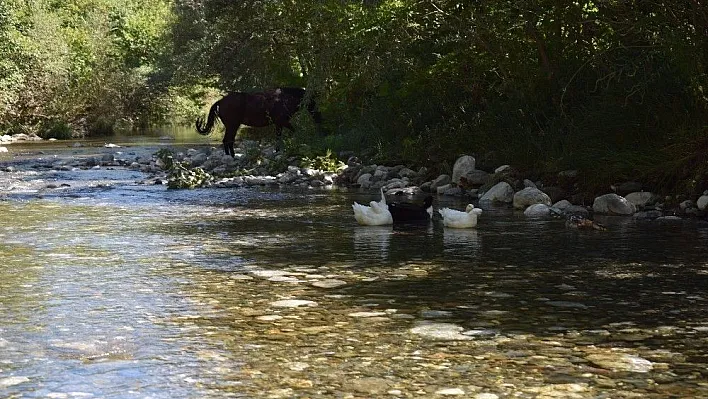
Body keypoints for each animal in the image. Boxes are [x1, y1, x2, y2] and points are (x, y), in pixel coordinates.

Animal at [196, 87, 324, 156]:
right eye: (315, 102)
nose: (320, 120)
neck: (285, 99)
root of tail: (221, 101)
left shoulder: (279, 124)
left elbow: (278, 137)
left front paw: (277, 150)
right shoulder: (282, 122)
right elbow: (293, 131)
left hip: (231, 126)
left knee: (227, 141)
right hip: (233, 125)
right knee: (228, 140)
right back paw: (232, 156)